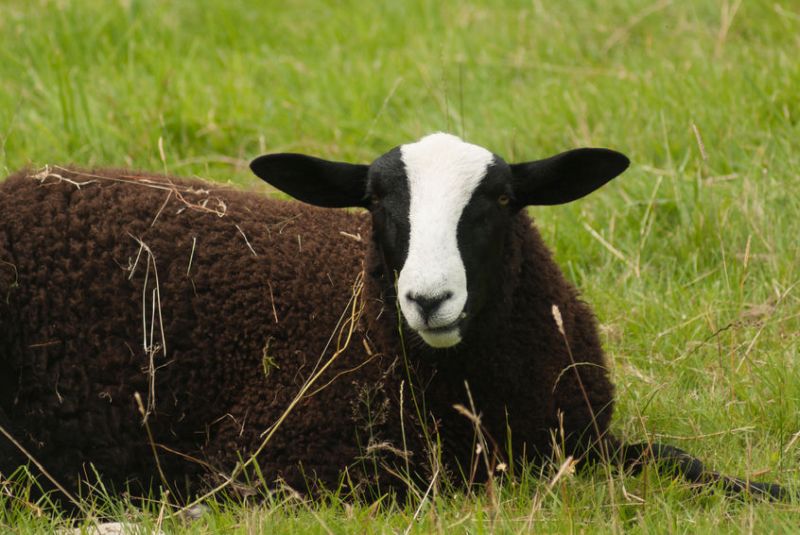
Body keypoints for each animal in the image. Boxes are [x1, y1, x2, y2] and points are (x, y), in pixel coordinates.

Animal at [0, 134, 788, 506]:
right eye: (375, 201)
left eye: (503, 198)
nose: (428, 299)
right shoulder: (272, 460)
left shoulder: (580, 438)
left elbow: (678, 459)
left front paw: (768, 492)